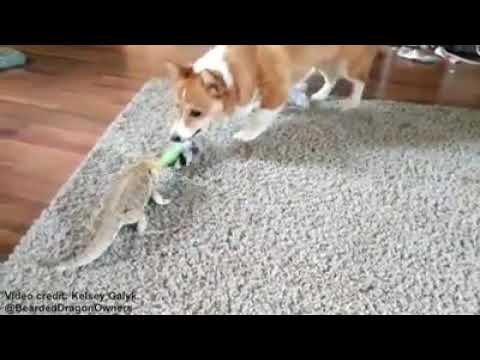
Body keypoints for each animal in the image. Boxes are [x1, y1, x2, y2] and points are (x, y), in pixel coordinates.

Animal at [165, 44, 378, 142]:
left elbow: (260, 116)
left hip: (347, 65)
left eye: (196, 113)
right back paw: (321, 95)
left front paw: (246, 134)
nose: (173, 138)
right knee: (331, 78)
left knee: (359, 81)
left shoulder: (276, 92)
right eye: (177, 108)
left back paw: (351, 103)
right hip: (324, 61)